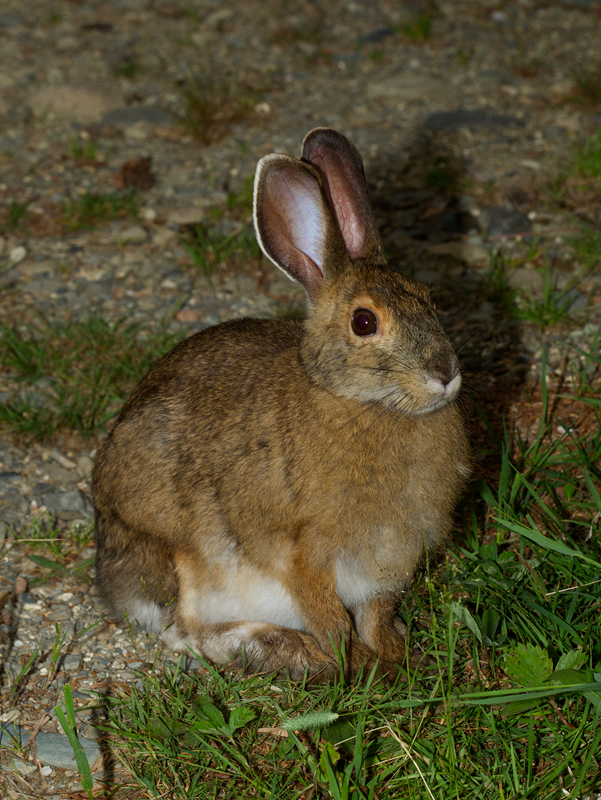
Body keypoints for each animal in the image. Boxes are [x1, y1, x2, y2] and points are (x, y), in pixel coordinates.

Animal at [93, 127, 470, 681]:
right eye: (364, 322)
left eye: (430, 298)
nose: (445, 374)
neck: (363, 403)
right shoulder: (302, 554)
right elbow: (332, 620)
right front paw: (363, 669)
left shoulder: (384, 566)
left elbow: (375, 616)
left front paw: (400, 658)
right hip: (184, 560)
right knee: (183, 630)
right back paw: (280, 650)